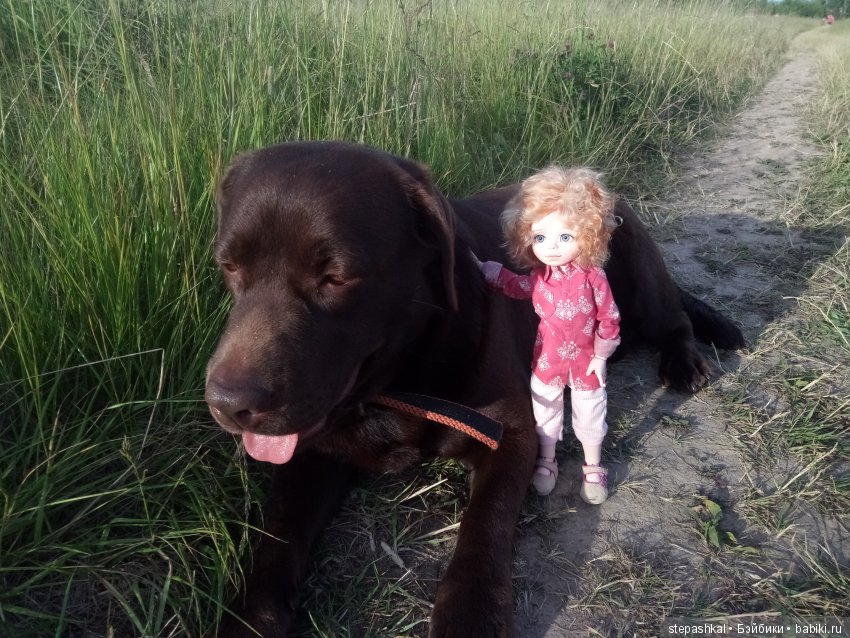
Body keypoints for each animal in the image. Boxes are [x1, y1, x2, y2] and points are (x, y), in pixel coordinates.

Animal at [205, 141, 745, 637]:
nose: (229, 404)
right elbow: (276, 539)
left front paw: (469, 616)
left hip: (640, 283)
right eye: (229, 266)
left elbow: (484, 526)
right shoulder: (310, 452)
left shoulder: (510, 433)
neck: (401, 376)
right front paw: (250, 620)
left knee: (674, 318)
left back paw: (685, 361)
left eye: (336, 277)